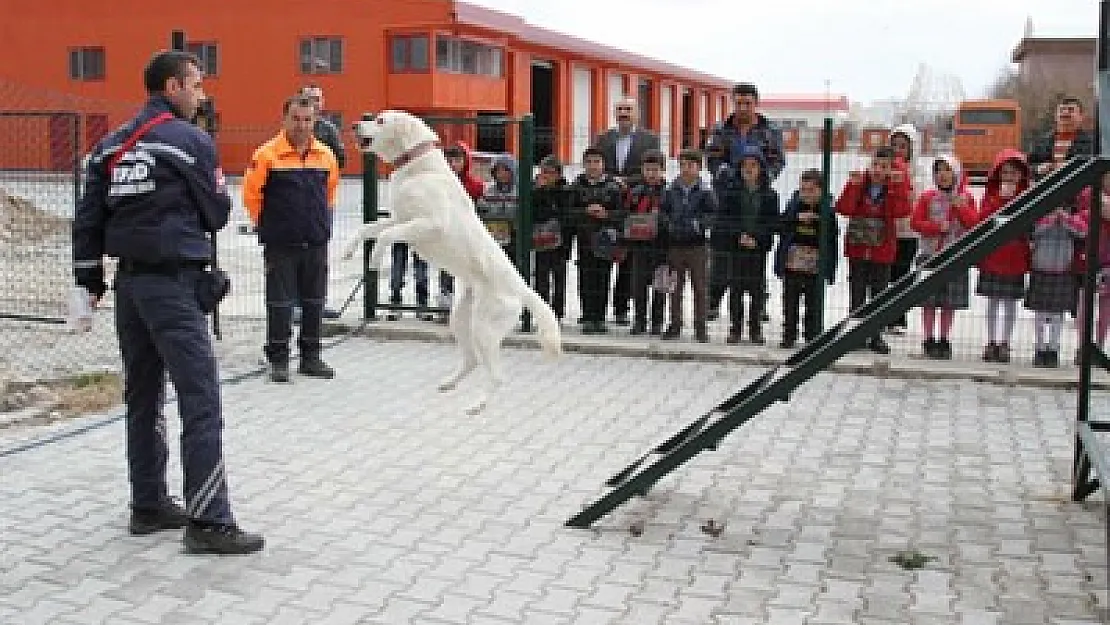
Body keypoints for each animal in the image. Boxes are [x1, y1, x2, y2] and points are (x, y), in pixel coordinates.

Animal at [339, 109, 563, 412]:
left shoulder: (430, 224)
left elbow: (386, 235)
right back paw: (449, 383)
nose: (354, 124)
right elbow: (368, 228)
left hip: (484, 327)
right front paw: (348, 251)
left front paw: (374, 258)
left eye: (381, 121)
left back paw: (477, 405)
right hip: (460, 319)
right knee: (472, 360)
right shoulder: (400, 218)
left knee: (497, 375)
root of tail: (522, 288)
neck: (418, 168)